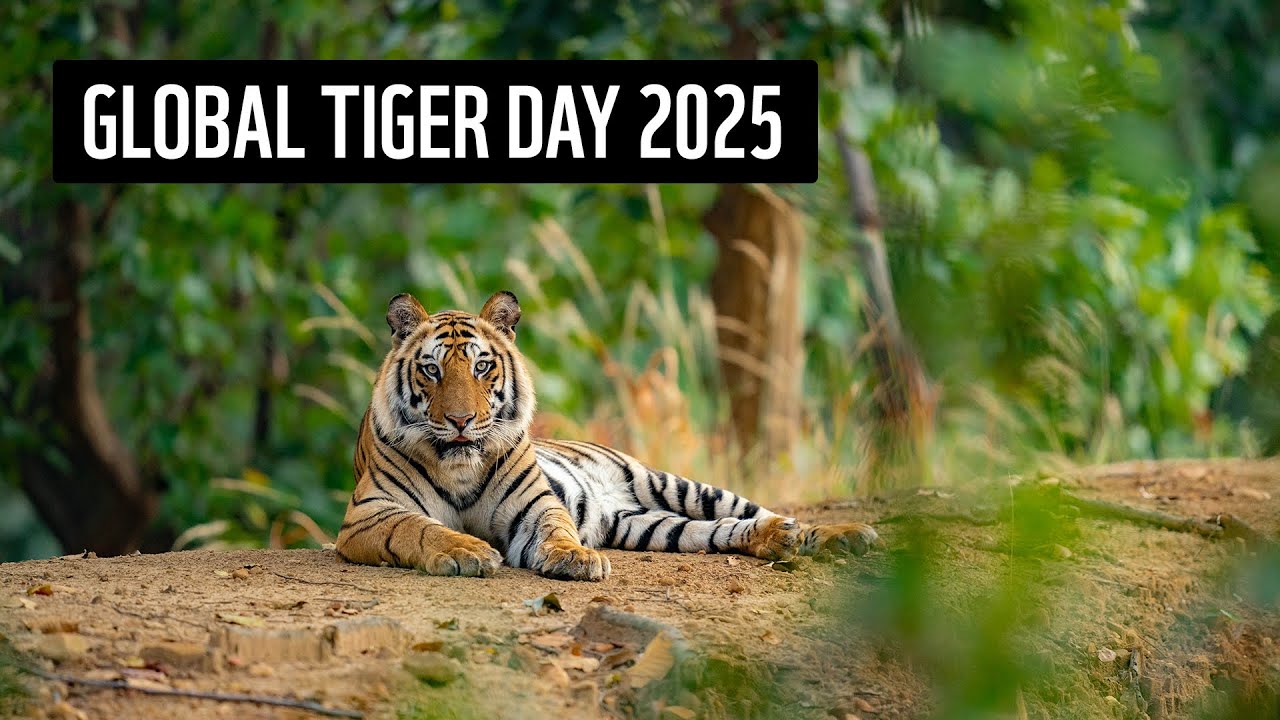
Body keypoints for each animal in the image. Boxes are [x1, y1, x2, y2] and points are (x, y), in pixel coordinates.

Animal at [334, 291, 879, 581]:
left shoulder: (534, 505)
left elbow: (554, 527)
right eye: (431, 370)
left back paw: (840, 535)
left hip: (677, 485)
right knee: (722, 531)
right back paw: (780, 541)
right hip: (650, 526)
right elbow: (421, 528)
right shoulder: (369, 514)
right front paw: (465, 551)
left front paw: (576, 557)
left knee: (759, 511)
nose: (461, 421)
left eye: (482, 367)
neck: (461, 466)